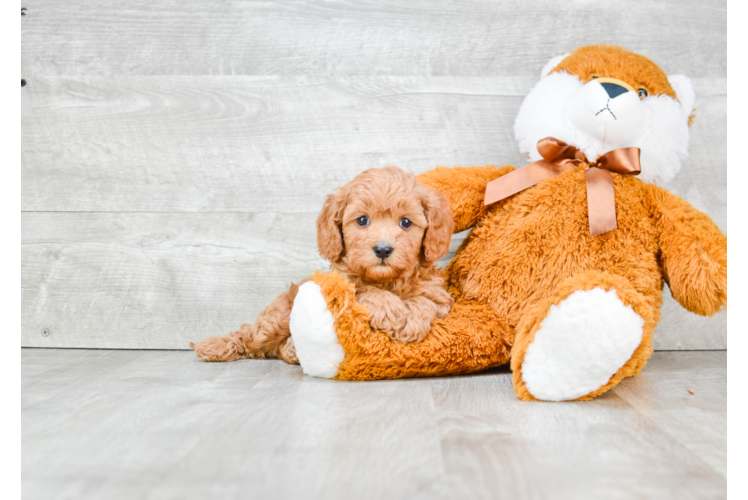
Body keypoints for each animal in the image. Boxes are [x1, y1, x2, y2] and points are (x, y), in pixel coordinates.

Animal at [190, 166, 452, 366]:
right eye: (362, 220)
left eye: (406, 222)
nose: (383, 249)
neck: (387, 280)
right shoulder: (339, 284)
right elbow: (363, 289)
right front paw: (390, 309)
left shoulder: (440, 297)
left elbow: (425, 300)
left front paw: (413, 319)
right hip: (276, 319)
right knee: (248, 336)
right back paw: (216, 345)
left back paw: (292, 349)